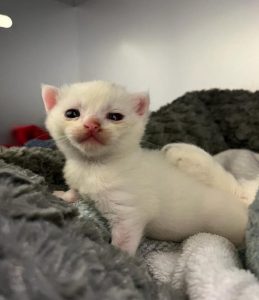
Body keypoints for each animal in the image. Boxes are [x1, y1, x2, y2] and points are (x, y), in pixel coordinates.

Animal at [41, 81, 249, 254]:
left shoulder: (128, 212)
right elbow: (74, 191)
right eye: (71, 113)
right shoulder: (78, 180)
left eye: (115, 116)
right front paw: (63, 195)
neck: (92, 166)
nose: (92, 125)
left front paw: (120, 257)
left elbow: (124, 239)